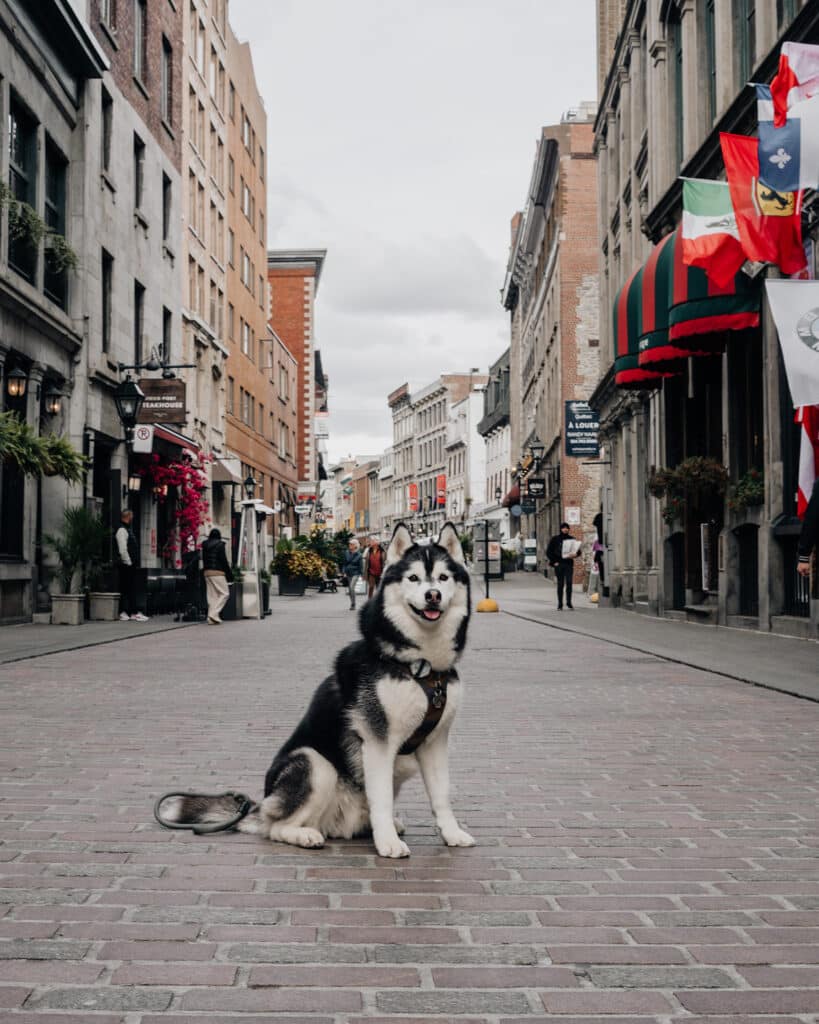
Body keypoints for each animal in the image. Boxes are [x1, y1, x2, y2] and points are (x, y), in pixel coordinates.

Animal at [159, 520, 472, 856]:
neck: (421, 666)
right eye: (413, 578)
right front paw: (388, 842)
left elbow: (441, 796)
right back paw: (305, 835)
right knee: (274, 826)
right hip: (315, 763)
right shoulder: (377, 742)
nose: (433, 595)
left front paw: (452, 833)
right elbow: (382, 799)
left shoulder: (435, 742)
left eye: (443, 577)